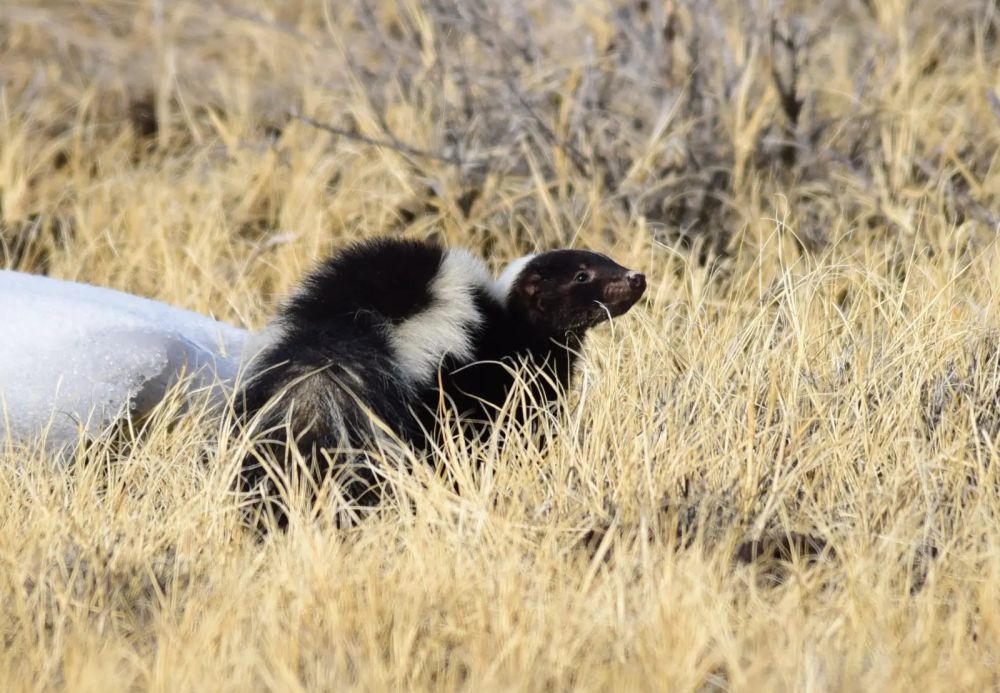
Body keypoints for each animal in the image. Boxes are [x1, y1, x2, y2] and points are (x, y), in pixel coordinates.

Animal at [237, 235, 644, 520]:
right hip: (432, 385)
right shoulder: (511, 376)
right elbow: (521, 427)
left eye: (607, 260)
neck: (513, 320)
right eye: (581, 276)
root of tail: (346, 325)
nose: (636, 277)